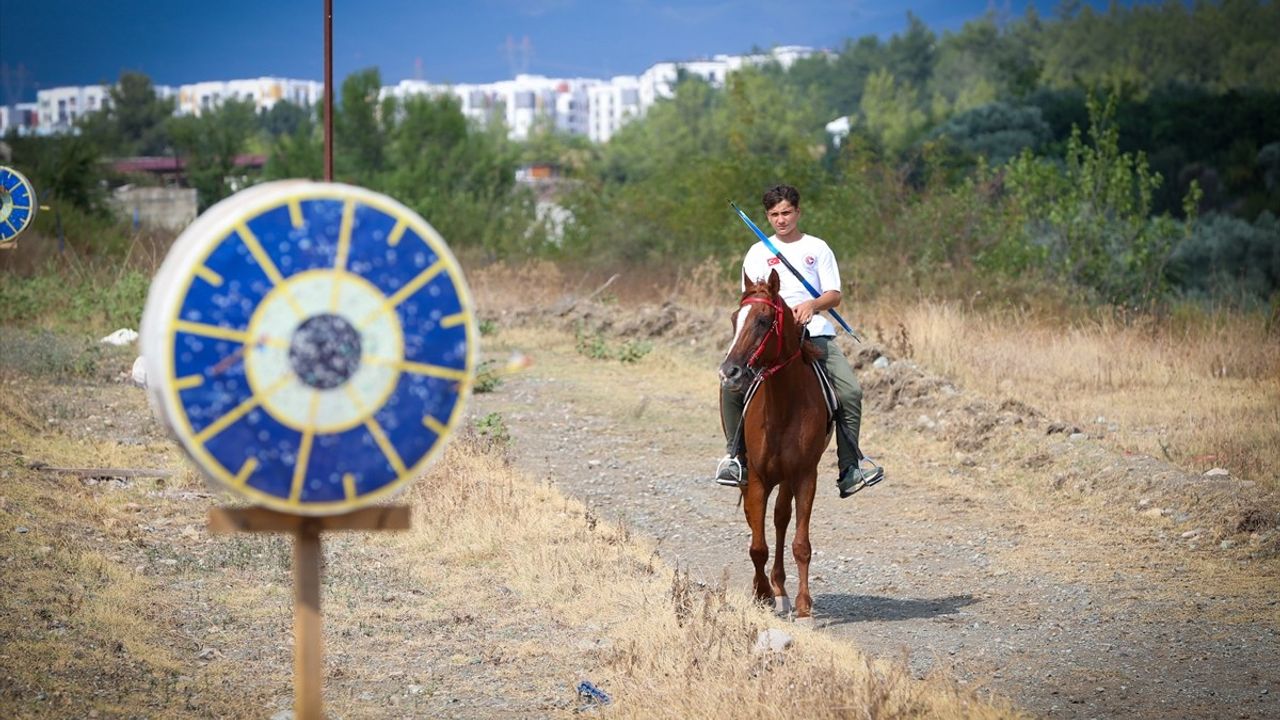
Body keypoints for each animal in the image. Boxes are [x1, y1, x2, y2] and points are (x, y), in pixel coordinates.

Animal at [721, 267, 829, 617]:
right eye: (735, 319)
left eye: (764, 320)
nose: (729, 372)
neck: (784, 405)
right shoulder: (757, 478)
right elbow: (757, 545)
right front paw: (762, 594)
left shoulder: (805, 476)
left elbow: (801, 543)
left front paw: (804, 606)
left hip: (787, 478)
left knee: (782, 519)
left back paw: (781, 587)